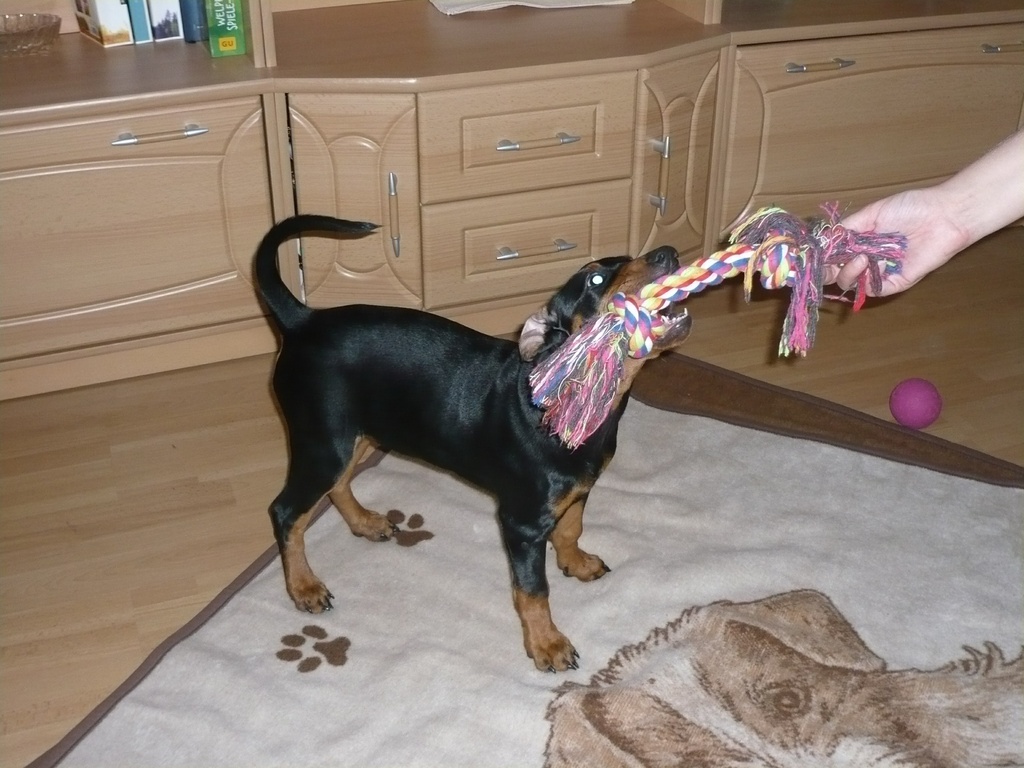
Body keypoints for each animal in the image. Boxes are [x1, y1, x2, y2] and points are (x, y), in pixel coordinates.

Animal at [254, 214, 692, 672]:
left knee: (336, 484)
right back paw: (304, 587)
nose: (668, 253)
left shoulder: (579, 488)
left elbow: (571, 528)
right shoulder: (521, 523)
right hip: (323, 438)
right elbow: (533, 590)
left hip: (354, 433)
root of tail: (303, 320)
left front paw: (576, 563)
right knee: (286, 512)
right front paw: (547, 645)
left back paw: (364, 523)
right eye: (595, 279)